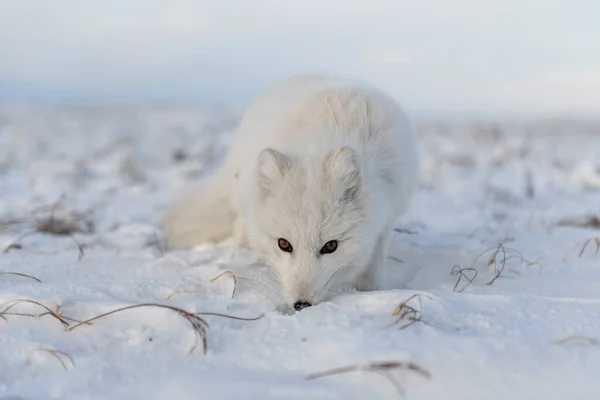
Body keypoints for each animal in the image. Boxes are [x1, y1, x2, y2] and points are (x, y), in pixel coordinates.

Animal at [162, 73, 420, 310]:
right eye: (284, 244)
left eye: (331, 246)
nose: (301, 304)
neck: (322, 142)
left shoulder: (388, 212)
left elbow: (373, 266)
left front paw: (372, 291)